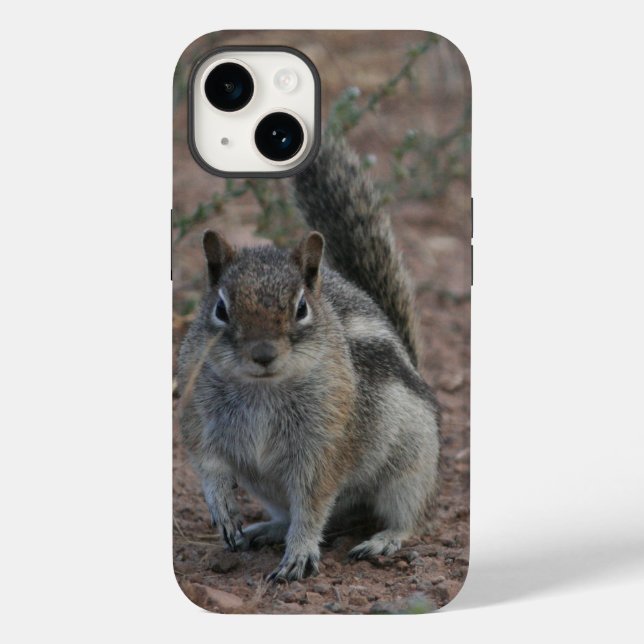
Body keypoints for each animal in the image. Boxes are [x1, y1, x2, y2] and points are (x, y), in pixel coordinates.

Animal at [178, 136, 440, 582]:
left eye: (301, 308)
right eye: (221, 309)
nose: (263, 354)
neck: (262, 391)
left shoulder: (324, 445)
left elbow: (313, 505)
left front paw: (299, 553)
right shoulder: (196, 414)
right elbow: (207, 464)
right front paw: (224, 510)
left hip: (410, 466)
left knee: (410, 516)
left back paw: (383, 539)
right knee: (291, 513)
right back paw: (264, 529)